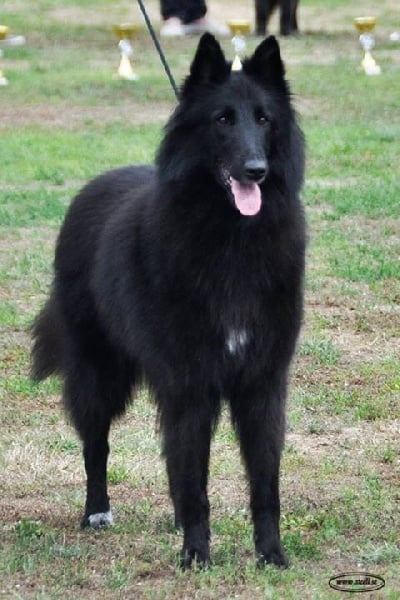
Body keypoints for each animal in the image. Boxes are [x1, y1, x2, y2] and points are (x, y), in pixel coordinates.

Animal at [32, 32, 306, 568]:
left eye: (264, 119)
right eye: (223, 119)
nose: (256, 171)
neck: (232, 238)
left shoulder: (262, 383)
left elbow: (264, 483)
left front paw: (271, 555)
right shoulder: (191, 383)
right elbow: (194, 479)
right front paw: (196, 556)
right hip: (99, 373)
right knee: (96, 445)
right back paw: (97, 512)